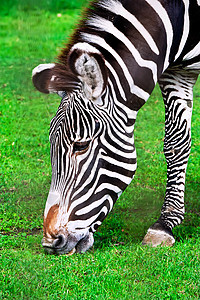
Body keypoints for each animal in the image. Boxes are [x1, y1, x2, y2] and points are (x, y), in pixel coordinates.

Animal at [32, 0, 199, 254]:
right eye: (51, 144)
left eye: (81, 145)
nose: (51, 243)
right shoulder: (178, 72)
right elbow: (176, 141)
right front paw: (165, 223)